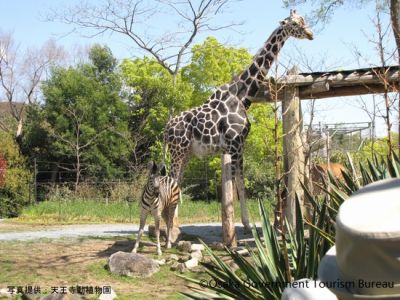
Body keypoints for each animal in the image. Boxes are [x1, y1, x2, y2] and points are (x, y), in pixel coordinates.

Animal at [162, 8, 312, 230]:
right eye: (294, 24)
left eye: (303, 19)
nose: (311, 34)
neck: (242, 96)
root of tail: (165, 130)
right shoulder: (233, 144)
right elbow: (232, 184)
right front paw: (232, 228)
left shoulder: (241, 144)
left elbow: (241, 182)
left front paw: (247, 224)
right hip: (177, 151)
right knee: (171, 180)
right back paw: (168, 226)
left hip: (186, 153)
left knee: (177, 182)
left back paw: (175, 224)